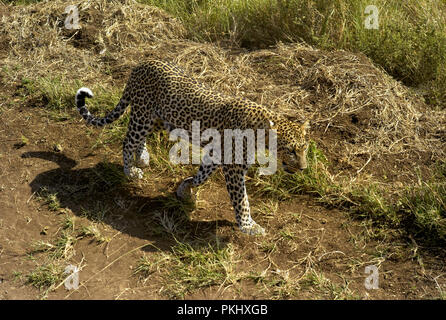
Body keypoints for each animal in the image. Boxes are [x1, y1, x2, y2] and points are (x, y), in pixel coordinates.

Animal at [75, 59, 310, 235]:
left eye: (305, 148)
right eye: (290, 150)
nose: (303, 168)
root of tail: (142, 63)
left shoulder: (215, 155)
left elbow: (201, 176)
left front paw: (185, 188)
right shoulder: (233, 168)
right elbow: (241, 200)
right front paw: (248, 226)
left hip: (158, 119)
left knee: (140, 139)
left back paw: (142, 158)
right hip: (143, 115)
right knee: (128, 141)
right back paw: (130, 170)